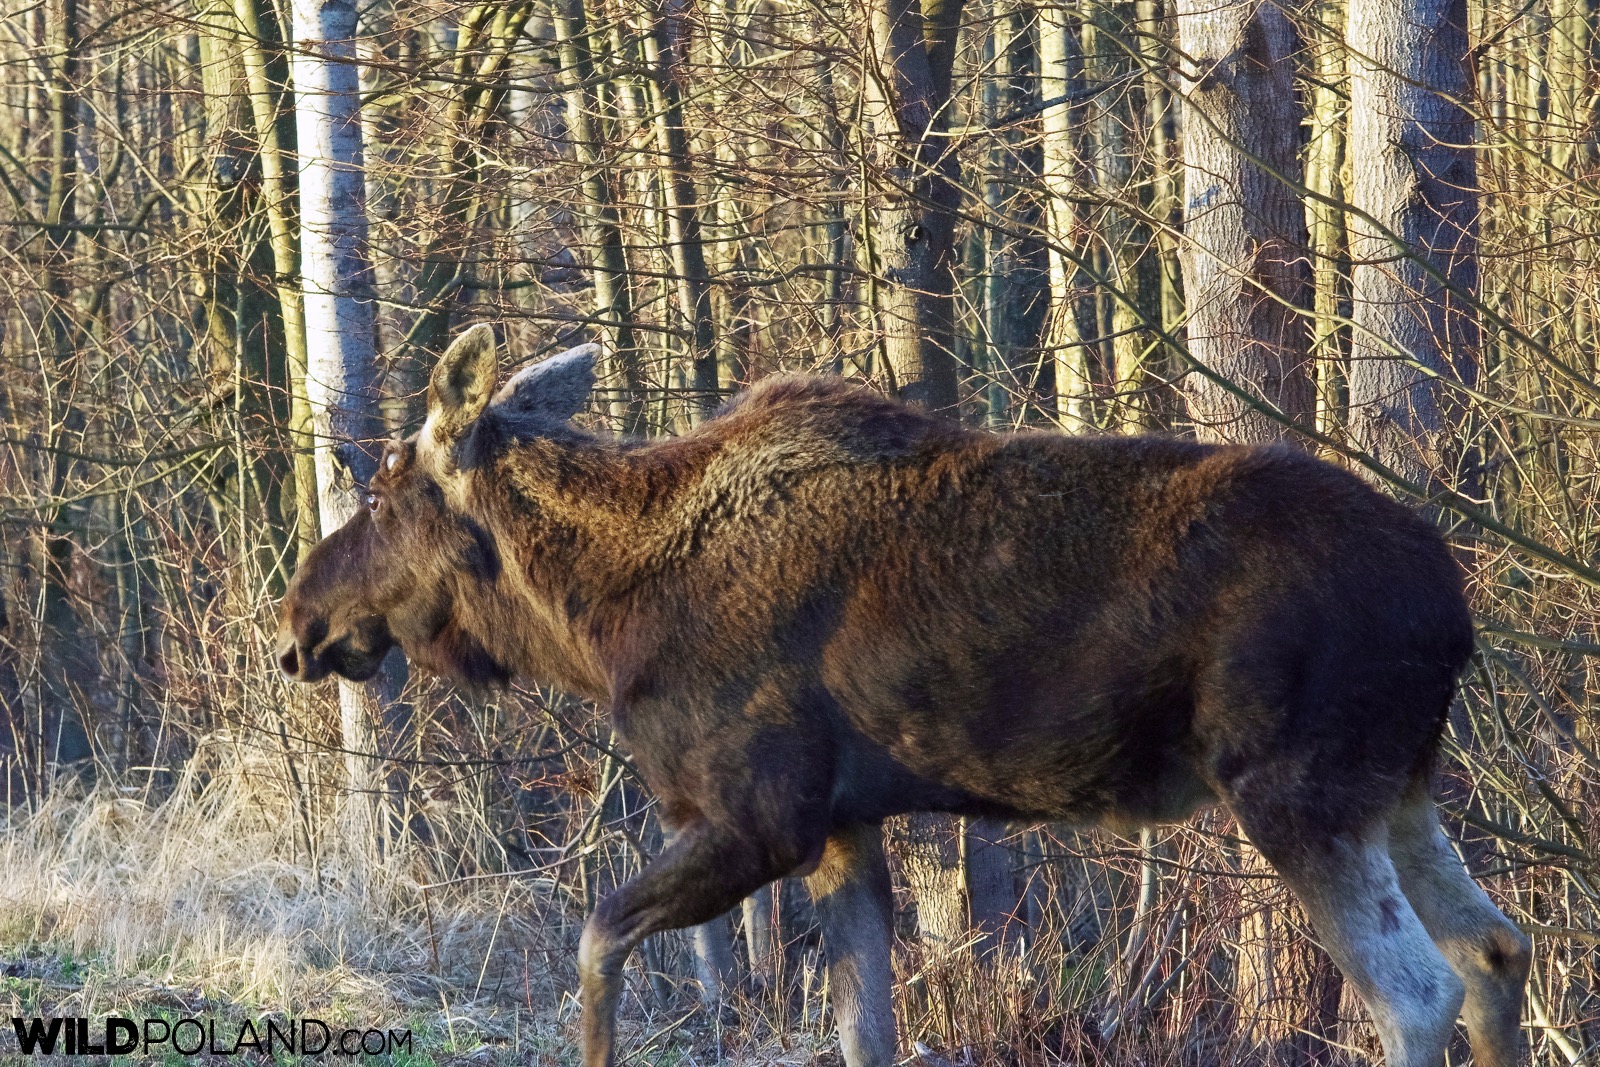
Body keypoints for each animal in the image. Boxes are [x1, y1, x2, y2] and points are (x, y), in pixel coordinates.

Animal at [281, 327, 1529, 1067]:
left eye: (384, 491)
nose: (300, 616)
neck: (595, 616)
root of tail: (1453, 605)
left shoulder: (763, 813)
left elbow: (597, 936)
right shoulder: (844, 823)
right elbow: (863, 1028)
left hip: (1293, 787)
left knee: (1415, 991)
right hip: (1398, 784)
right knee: (1493, 948)